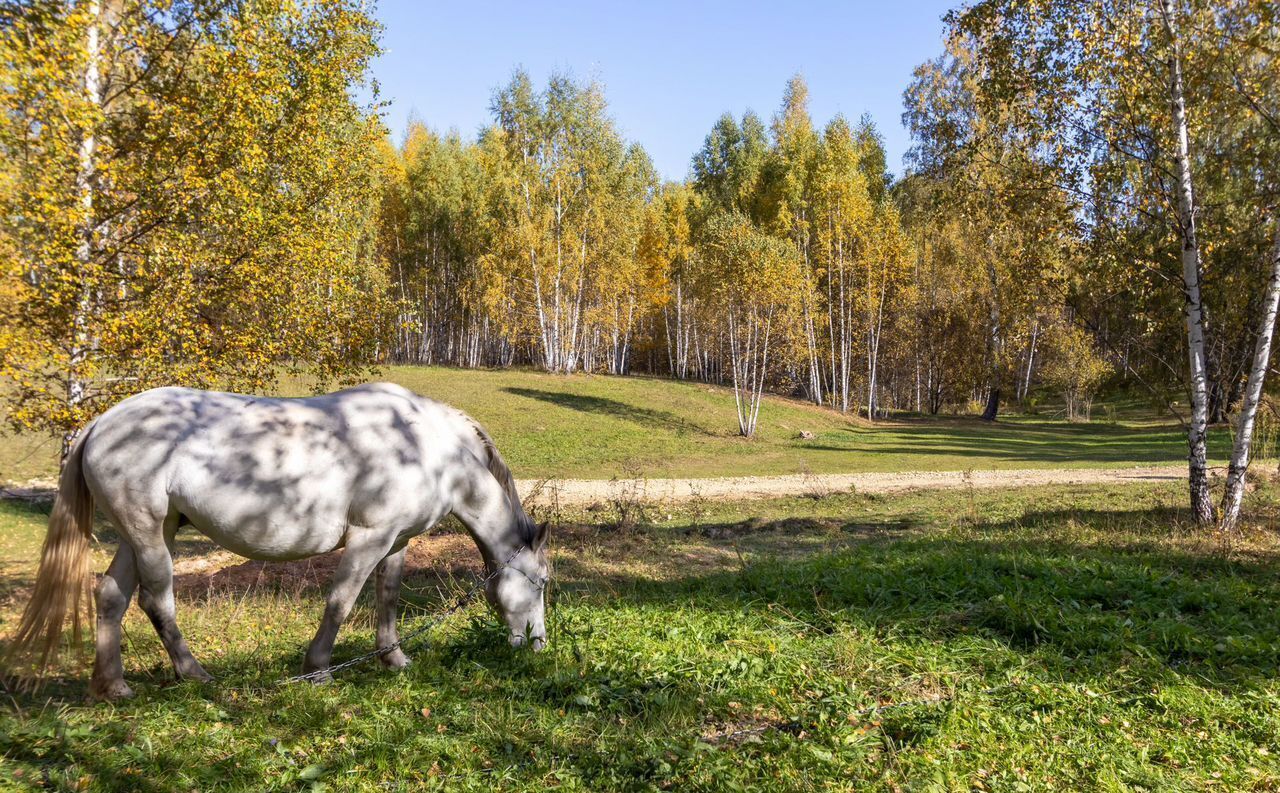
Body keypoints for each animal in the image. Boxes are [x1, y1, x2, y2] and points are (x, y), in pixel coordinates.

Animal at [8, 383, 550, 700]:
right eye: (542, 583)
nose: (537, 644)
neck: (424, 447)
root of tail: (101, 422)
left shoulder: (395, 542)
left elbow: (388, 597)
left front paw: (394, 659)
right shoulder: (369, 539)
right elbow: (341, 601)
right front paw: (318, 670)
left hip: (146, 532)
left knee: (110, 598)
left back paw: (114, 685)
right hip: (148, 535)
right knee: (156, 601)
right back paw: (194, 674)